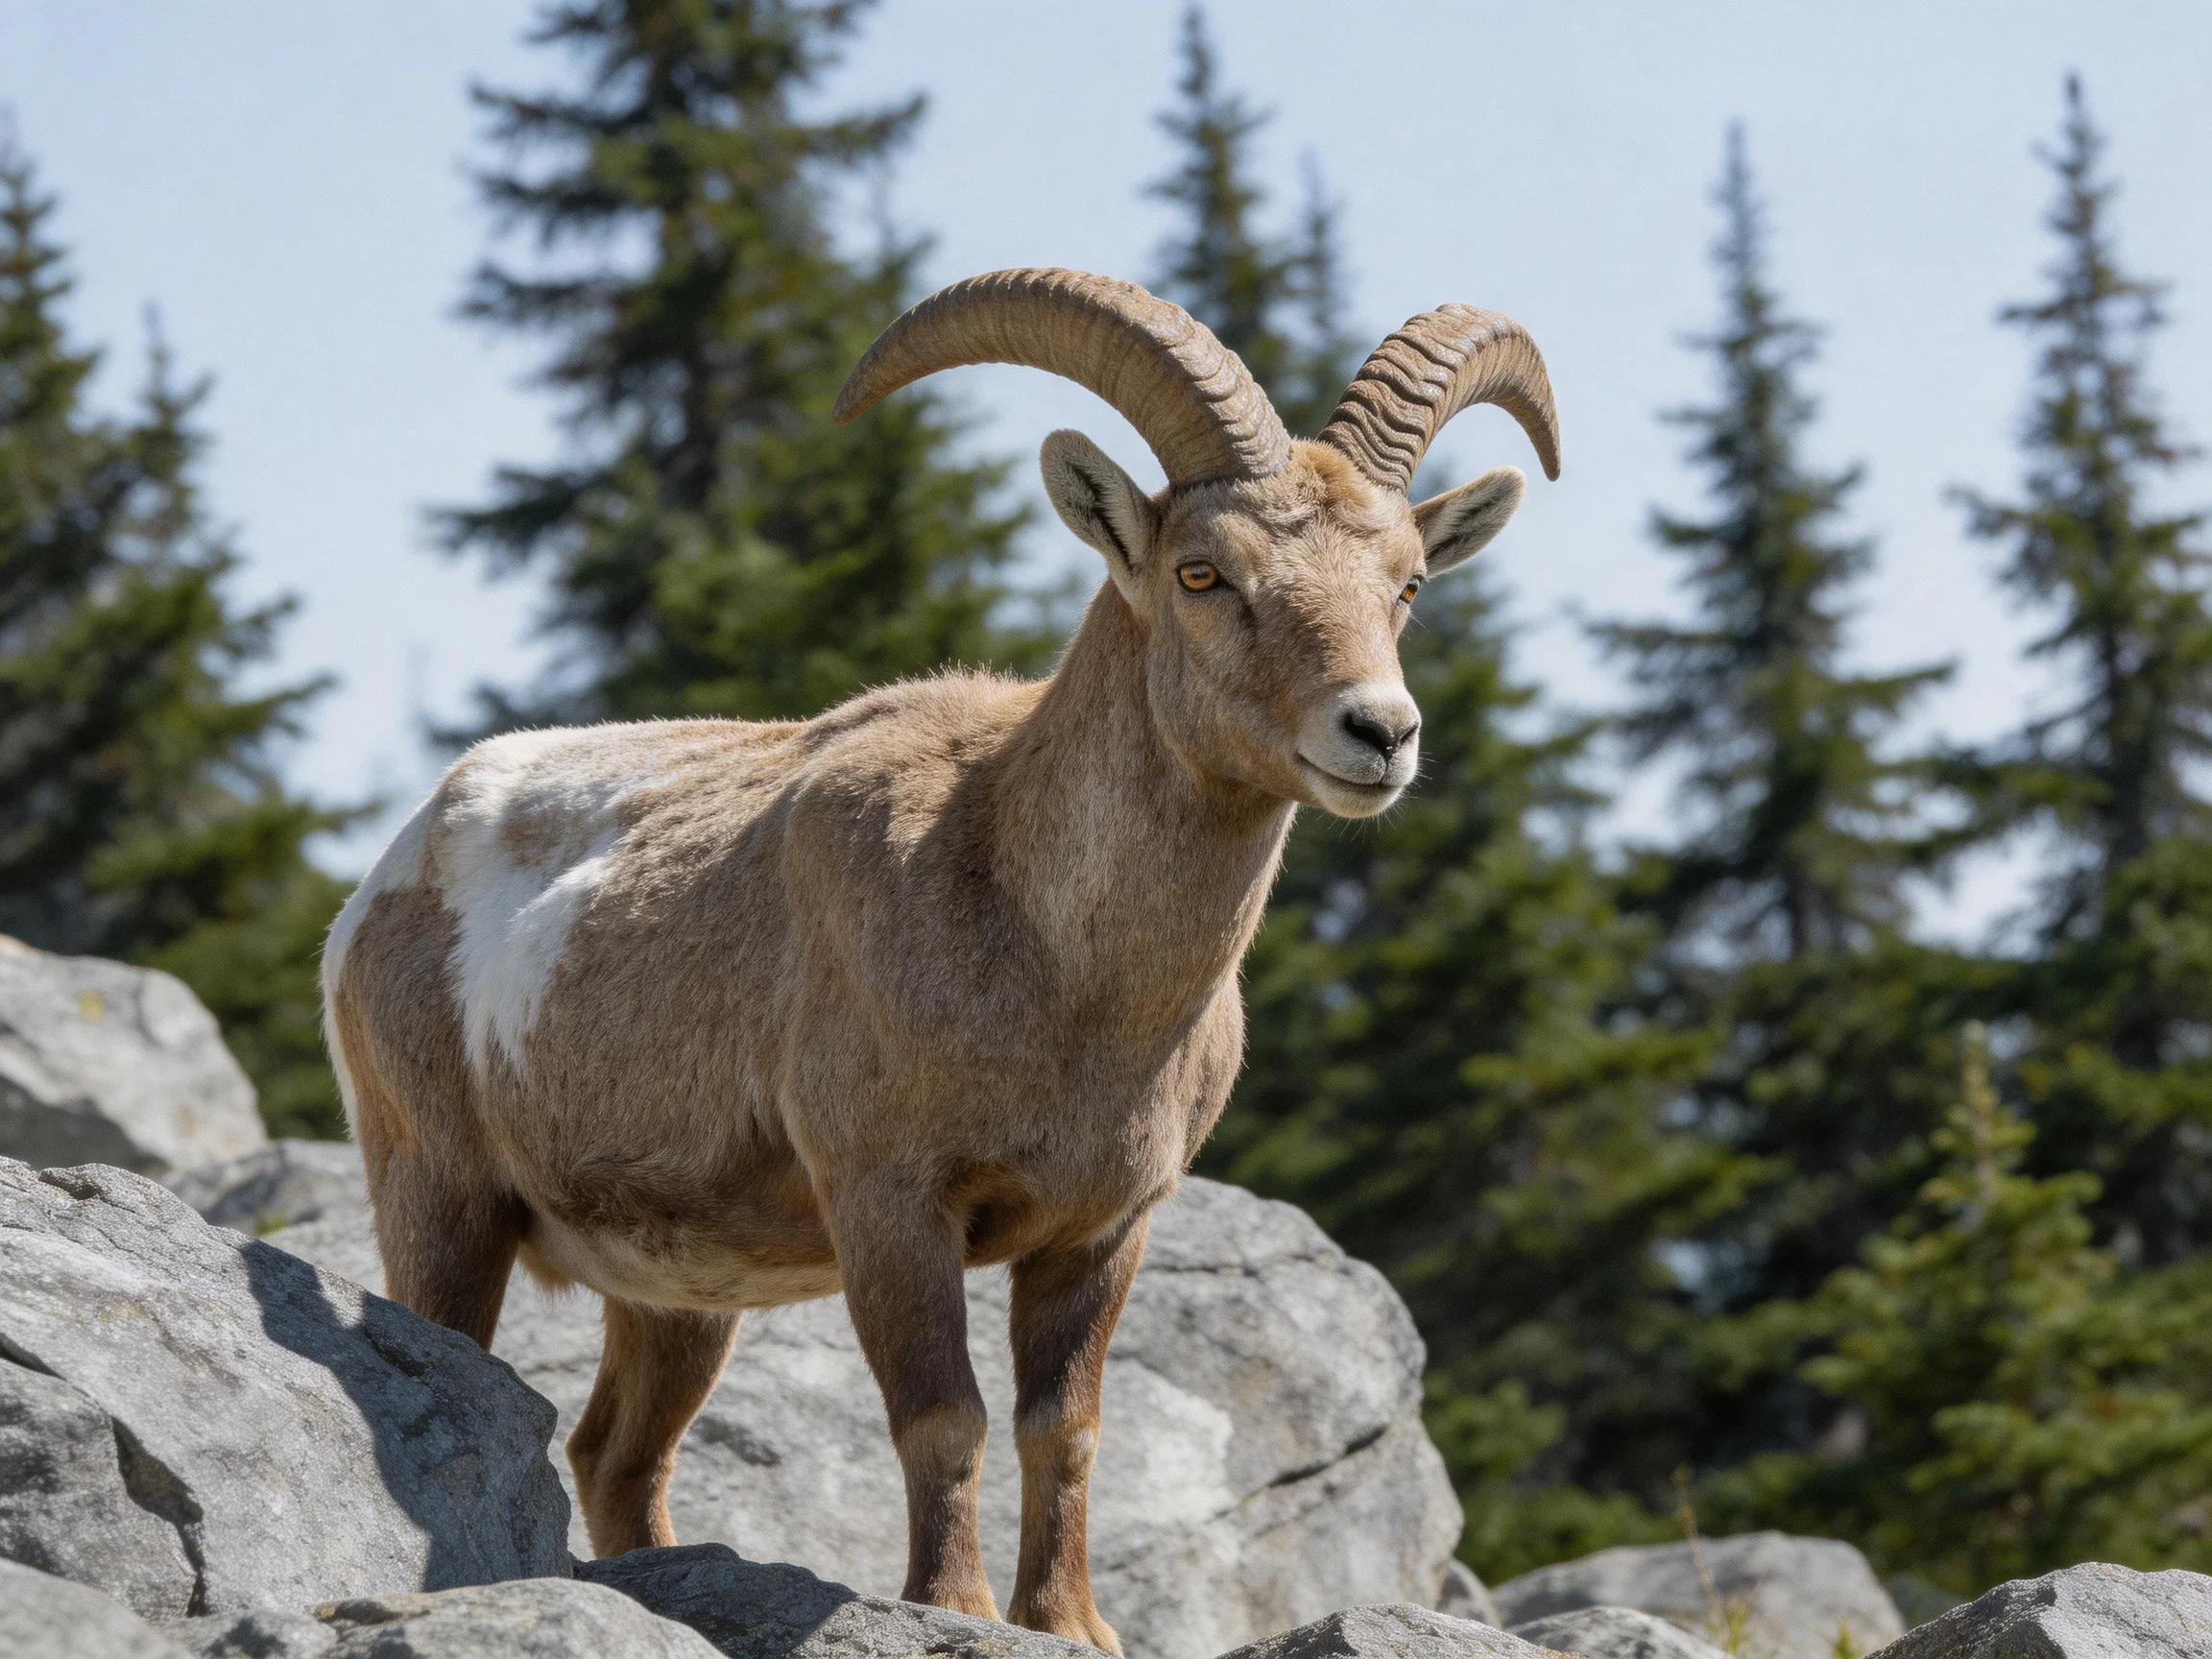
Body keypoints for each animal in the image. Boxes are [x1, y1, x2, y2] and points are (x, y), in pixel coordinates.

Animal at [321, 268, 1558, 1653]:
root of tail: (389, 873)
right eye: (1203, 571)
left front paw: (1070, 1623)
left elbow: (1063, 1427)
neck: (1057, 966)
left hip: (678, 1294)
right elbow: (943, 1414)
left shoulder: (1101, 1229)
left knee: (616, 1457)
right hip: (439, 1195)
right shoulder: (890, 1203)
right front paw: (954, 1606)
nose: (1379, 734)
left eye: (1407, 584)